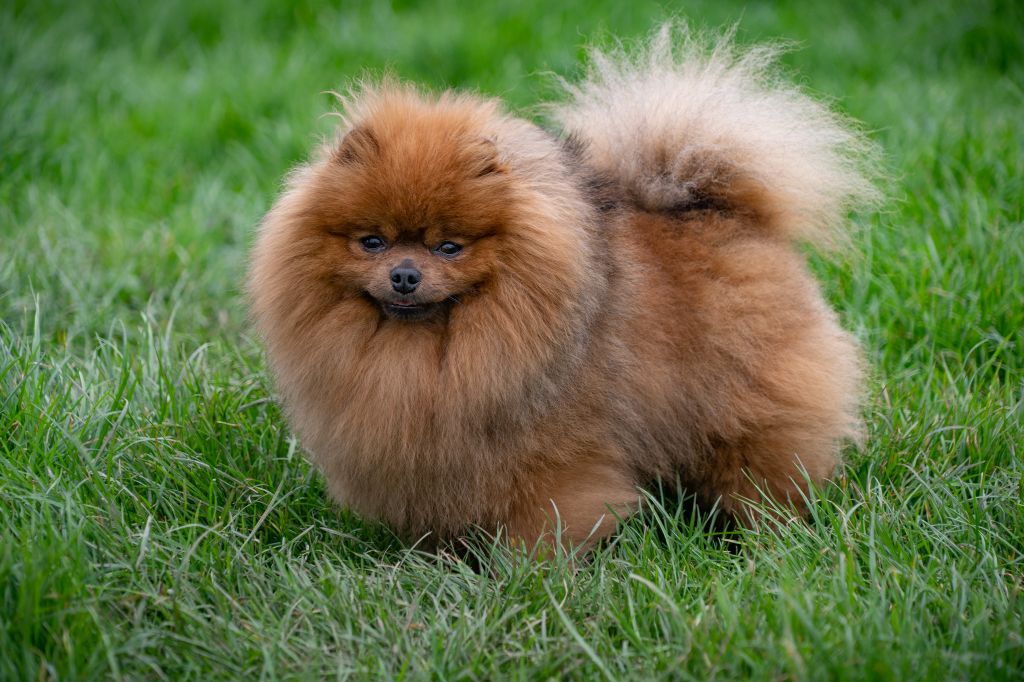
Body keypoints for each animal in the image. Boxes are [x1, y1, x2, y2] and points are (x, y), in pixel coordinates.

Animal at [249, 26, 880, 548]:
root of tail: (721, 210)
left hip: (748, 400)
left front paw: (530, 576)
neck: (436, 355)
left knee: (764, 465)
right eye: (372, 242)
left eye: (449, 246)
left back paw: (763, 535)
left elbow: (547, 521)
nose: (405, 274)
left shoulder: (558, 459)